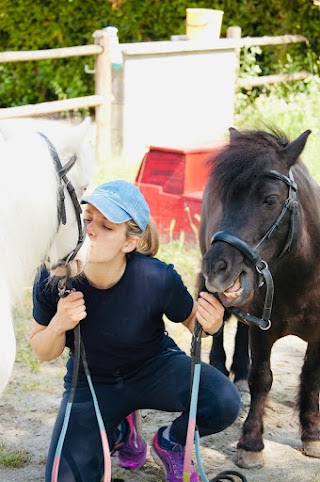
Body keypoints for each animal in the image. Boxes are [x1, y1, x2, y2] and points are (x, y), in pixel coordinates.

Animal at [199, 126, 320, 468]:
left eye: (270, 199)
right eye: (225, 198)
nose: (216, 266)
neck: (302, 275)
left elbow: (311, 375)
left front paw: (312, 433)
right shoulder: (264, 333)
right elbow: (262, 378)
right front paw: (251, 444)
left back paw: (237, 371)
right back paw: (221, 367)